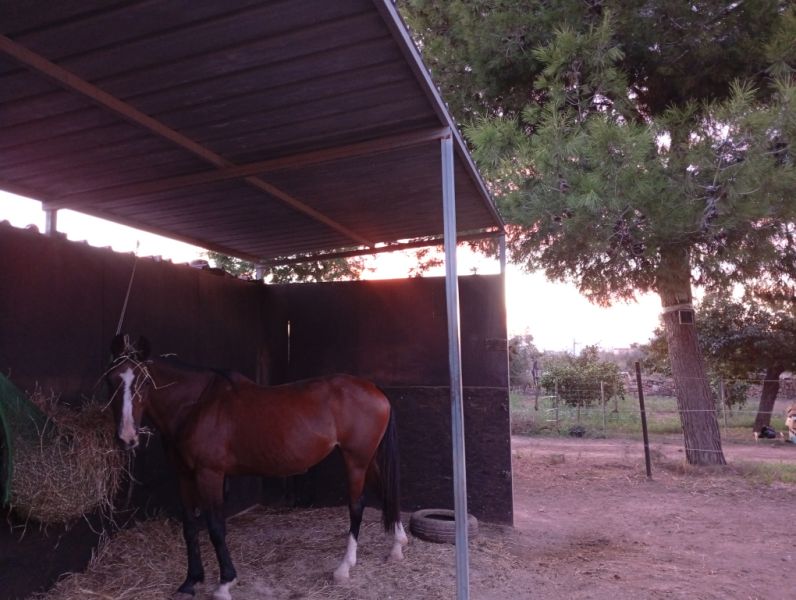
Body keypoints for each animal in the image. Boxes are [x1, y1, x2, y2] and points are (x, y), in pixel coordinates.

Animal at [105, 334, 407, 600]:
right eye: (111, 380)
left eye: (144, 383)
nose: (126, 437)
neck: (196, 406)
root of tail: (374, 389)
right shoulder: (184, 476)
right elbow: (190, 527)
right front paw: (190, 582)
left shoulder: (209, 474)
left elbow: (215, 527)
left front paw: (225, 583)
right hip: (368, 459)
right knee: (387, 493)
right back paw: (397, 547)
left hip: (355, 460)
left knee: (357, 505)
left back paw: (344, 568)